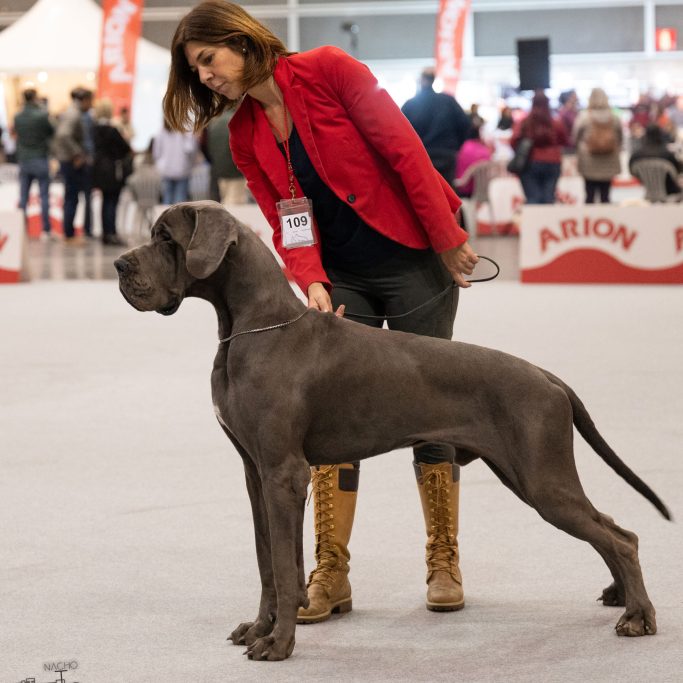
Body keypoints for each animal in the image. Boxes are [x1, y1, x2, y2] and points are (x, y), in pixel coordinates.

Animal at [115, 202, 672, 664]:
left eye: (166, 238)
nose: (120, 265)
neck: (250, 327)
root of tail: (549, 376)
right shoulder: (256, 474)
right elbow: (267, 563)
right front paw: (258, 627)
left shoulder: (283, 474)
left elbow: (284, 565)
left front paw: (279, 643)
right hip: (528, 476)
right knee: (612, 529)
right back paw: (622, 599)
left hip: (543, 480)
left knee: (622, 537)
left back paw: (639, 616)